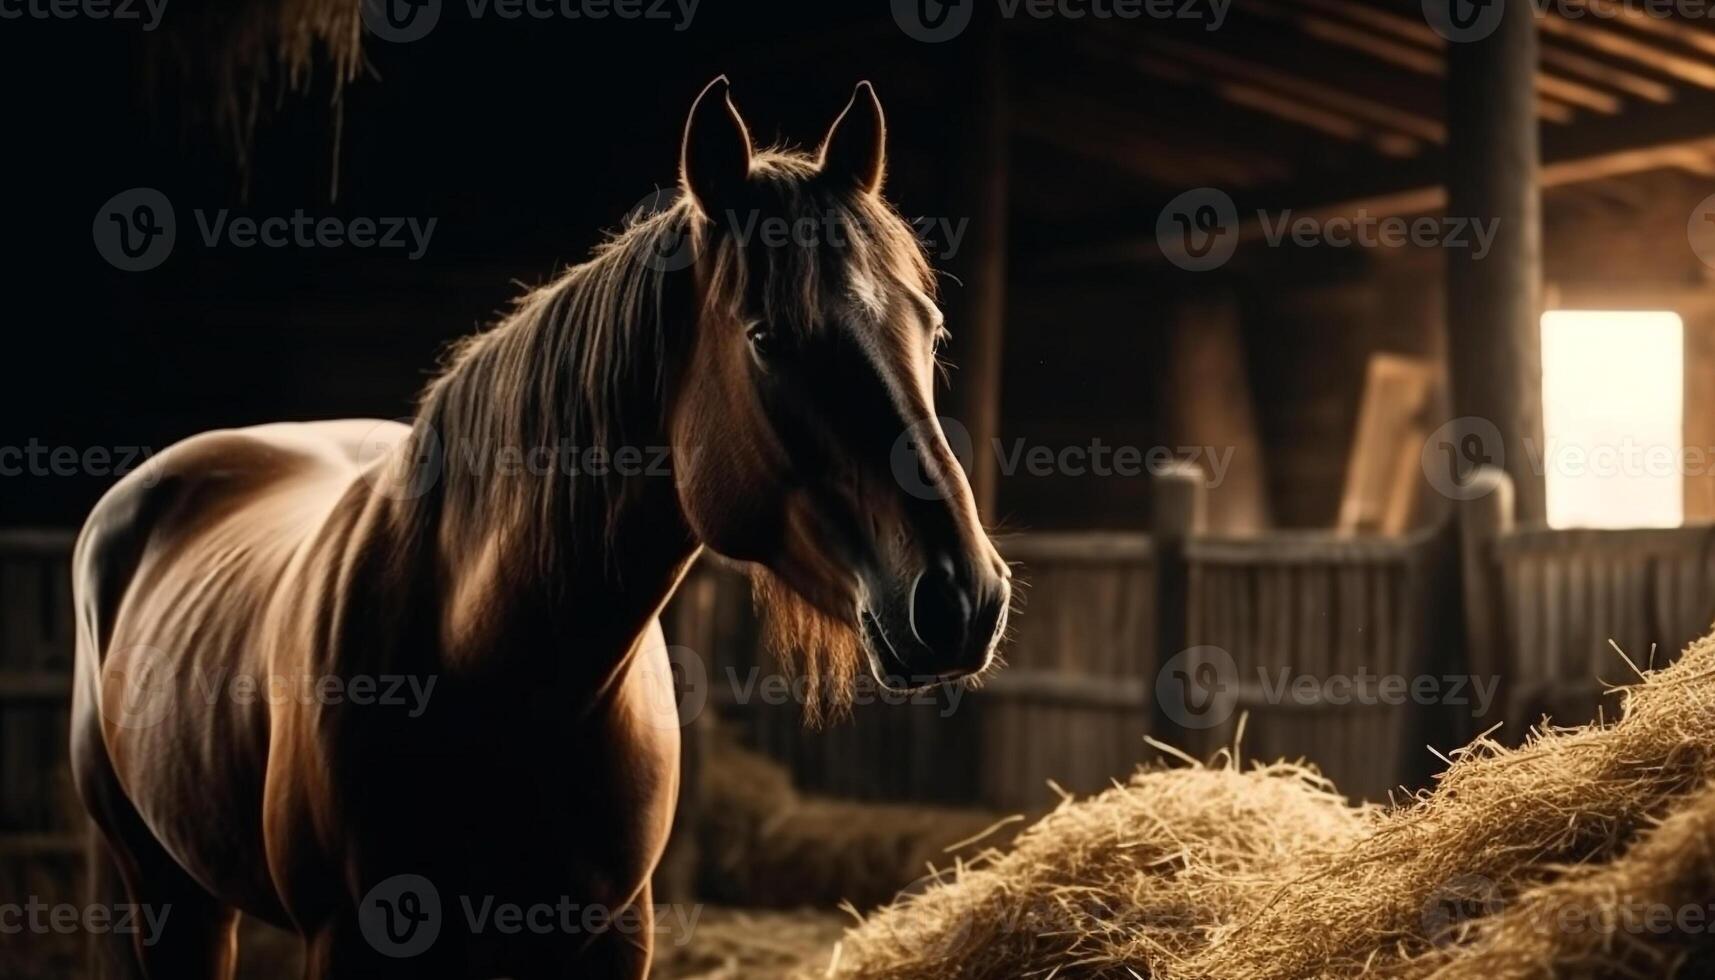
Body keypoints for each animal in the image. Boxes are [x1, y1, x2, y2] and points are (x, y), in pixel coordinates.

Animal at [70, 78, 1001, 980]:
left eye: (929, 325)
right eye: (767, 337)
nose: (961, 597)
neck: (495, 665)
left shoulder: (613, 937)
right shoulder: (347, 942)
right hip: (162, 893)